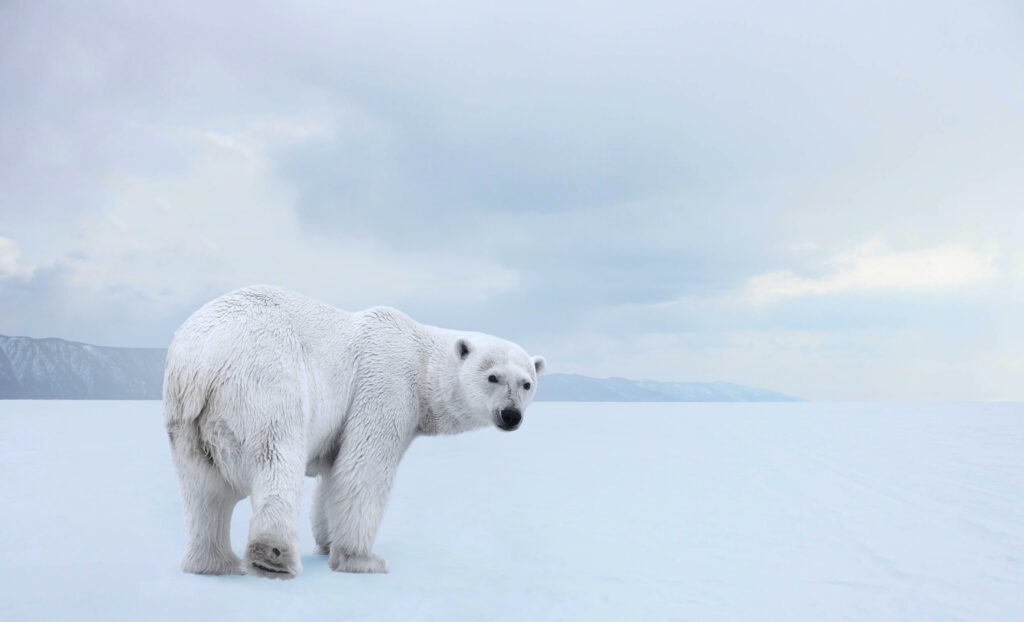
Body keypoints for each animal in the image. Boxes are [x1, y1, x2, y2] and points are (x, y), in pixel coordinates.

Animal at [162, 286, 544, 577]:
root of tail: (201, 360)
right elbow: (362, 469)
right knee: (275, 456)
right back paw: (273, 557)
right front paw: (362, 559)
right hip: (266, 379)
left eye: (527, 383)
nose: (511, 415)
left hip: (186, 418)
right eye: (493, 376)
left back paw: (213, 563)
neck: (419, 356)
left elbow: (332, 477)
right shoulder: (384, 382)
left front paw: (327, 541)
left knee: (202, 490)